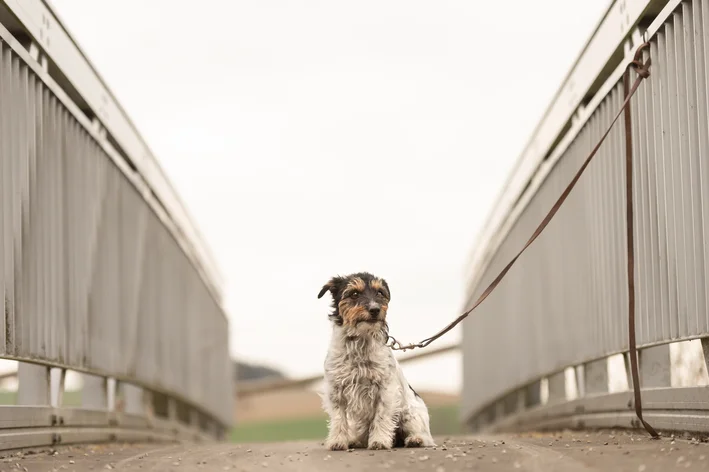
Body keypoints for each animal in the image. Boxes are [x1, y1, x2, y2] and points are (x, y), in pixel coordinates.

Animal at [318, 272, 434, 450]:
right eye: (354, 293)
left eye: (380, 293)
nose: (375, 309)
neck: (359, 342)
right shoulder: (336, 390)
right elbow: (339, 418)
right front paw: (338, 441)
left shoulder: (386, 390)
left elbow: (381, 417)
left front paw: (379, 441)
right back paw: (355, 440)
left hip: (410, 414)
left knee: (424, 436)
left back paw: (415, 439)